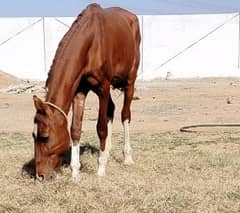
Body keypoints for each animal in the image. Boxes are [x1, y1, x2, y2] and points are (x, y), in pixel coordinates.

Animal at [32, 2, 141, 180]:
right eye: (33, 136)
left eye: (45, 137)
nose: (40, 176)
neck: (91, 42)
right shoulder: (79, 91)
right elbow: (75, 130)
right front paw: (75, 172)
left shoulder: (103, 88)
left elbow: (101, 128)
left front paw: (101, 169)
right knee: (111, 109)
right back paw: (107, 152)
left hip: (130, 81)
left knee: (125, 115)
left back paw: (127, 157)